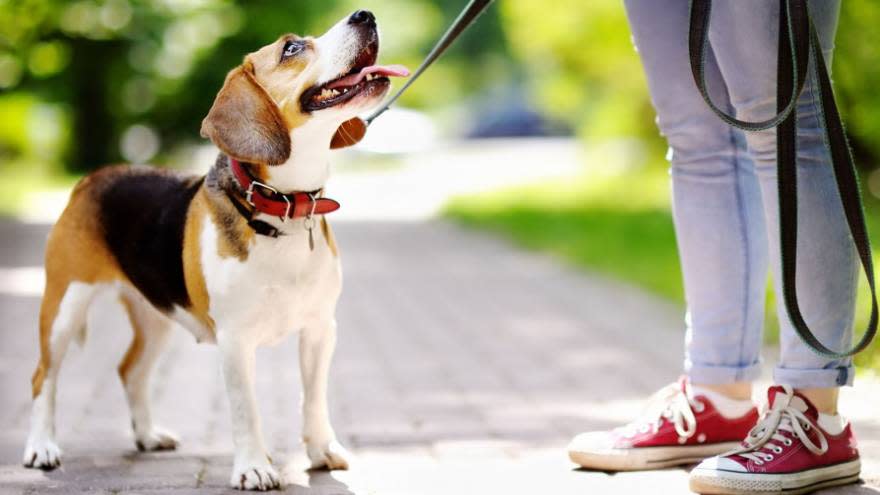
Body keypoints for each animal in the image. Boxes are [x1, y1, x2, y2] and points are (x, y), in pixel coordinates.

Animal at [20, 10, 406, 492]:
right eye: (292, 48)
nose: (365, 15)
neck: (283, 209)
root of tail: (92, 178)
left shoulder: (320, 329)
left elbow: (313, 398)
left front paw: (321, 451)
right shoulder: (235, 340)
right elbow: (247, 409)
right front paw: (255, 467)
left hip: (156, 315)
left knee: (130, 371)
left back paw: (147, 435)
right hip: (64, 306)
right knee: (43, 377)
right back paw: (42, 448)